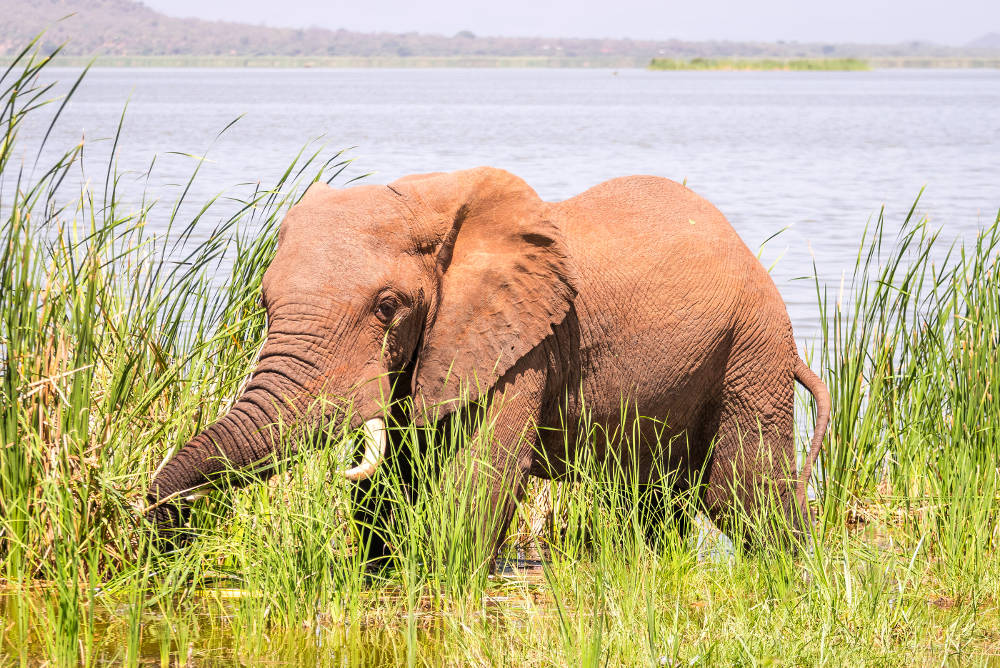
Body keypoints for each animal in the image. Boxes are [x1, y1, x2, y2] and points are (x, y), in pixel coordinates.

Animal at [145, 166, 832, 552]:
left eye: (388, 306)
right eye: (263, 302)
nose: (154, 528)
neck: (431, 201)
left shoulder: (522, 345)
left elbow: (473, 487)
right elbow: (389, 491)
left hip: (753, 346)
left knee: (742, 495)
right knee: (652, 499)